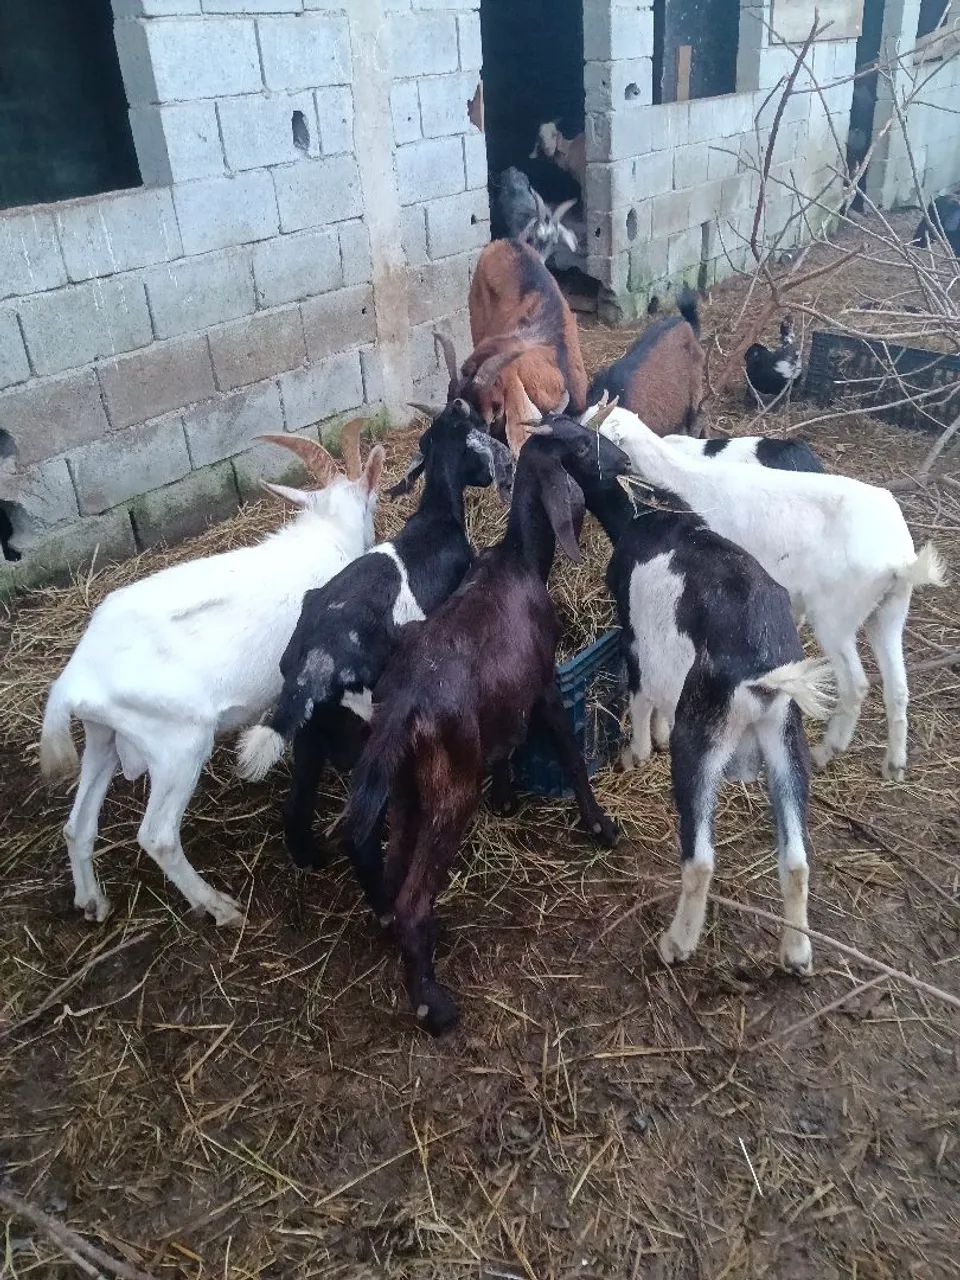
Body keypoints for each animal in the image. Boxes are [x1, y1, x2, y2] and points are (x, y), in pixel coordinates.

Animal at [38, 426, 385, 926]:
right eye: (372, 503)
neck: (327, 535)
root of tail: (73, 682)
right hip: (178, 747)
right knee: (158, 837)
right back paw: (218, 906)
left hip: (102, 737)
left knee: (77, 826)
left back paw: (92, 902)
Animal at [237, 397, 514, 878]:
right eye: (476, 437)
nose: (496, 470)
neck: (435, 518)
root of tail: (312, 666)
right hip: (365, 723)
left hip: (310, 734)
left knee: (296, 811)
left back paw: (312, 861)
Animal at [346, 417, 629, 1034]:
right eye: (580, 445)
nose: (622, 460)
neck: (519, 557)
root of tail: (404, 706)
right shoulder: (544, 682)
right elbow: (568, 752)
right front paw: (600, 825)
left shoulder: (510, 695)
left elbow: (511, 744)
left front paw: (507, 797)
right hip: (451, 789)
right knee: (411, 899)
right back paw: (432, 1003)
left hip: (405, 788)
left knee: (397, 876)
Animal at [572, 439, 831, 973]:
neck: (646, 514)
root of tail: (763, 674)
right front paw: (657, 733)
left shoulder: (633, 636)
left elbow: (640, 694)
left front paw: (637, 752)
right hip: (785, 737)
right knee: (796, 858)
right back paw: (796, 952)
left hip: (704, 738)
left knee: (700, 859)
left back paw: (676, 944)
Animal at [598, 407, 947, 781]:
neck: (683, 477)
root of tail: (902, 561)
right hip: (890, 610)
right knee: (898, 688)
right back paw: (894, 764)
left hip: (836, 618)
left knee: (856, 685)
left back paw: (827, 751)